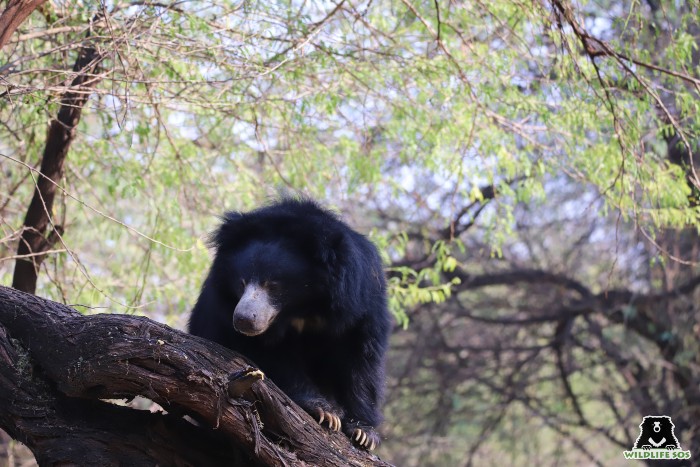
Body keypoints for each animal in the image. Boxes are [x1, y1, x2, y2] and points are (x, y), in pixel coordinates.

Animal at [189, 199, 392, 452]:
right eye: (241, 282)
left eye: (273, 285)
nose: (244, 319)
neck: (303, 307)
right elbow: (274, 357)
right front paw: (325, 411)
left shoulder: (361, 301)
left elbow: (362, 359)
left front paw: (364, 432)